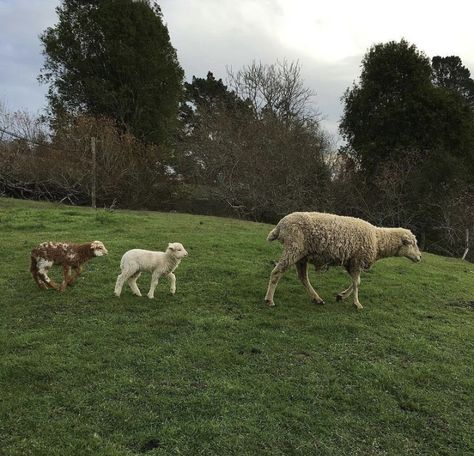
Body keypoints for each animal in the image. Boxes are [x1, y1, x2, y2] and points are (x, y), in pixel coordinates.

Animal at [262, 213, 422, 310]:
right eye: (412, 243)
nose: (420, 257)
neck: (378, 239)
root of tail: (280, 226)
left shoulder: (351, 261)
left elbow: (355, 282)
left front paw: (341, 296)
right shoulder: (357, 260)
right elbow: (357, 283)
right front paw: (357, 303)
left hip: (301, 255)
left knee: (303, 277)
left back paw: (317, 298)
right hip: (294, 249)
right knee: (276, 272)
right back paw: (269, 300)